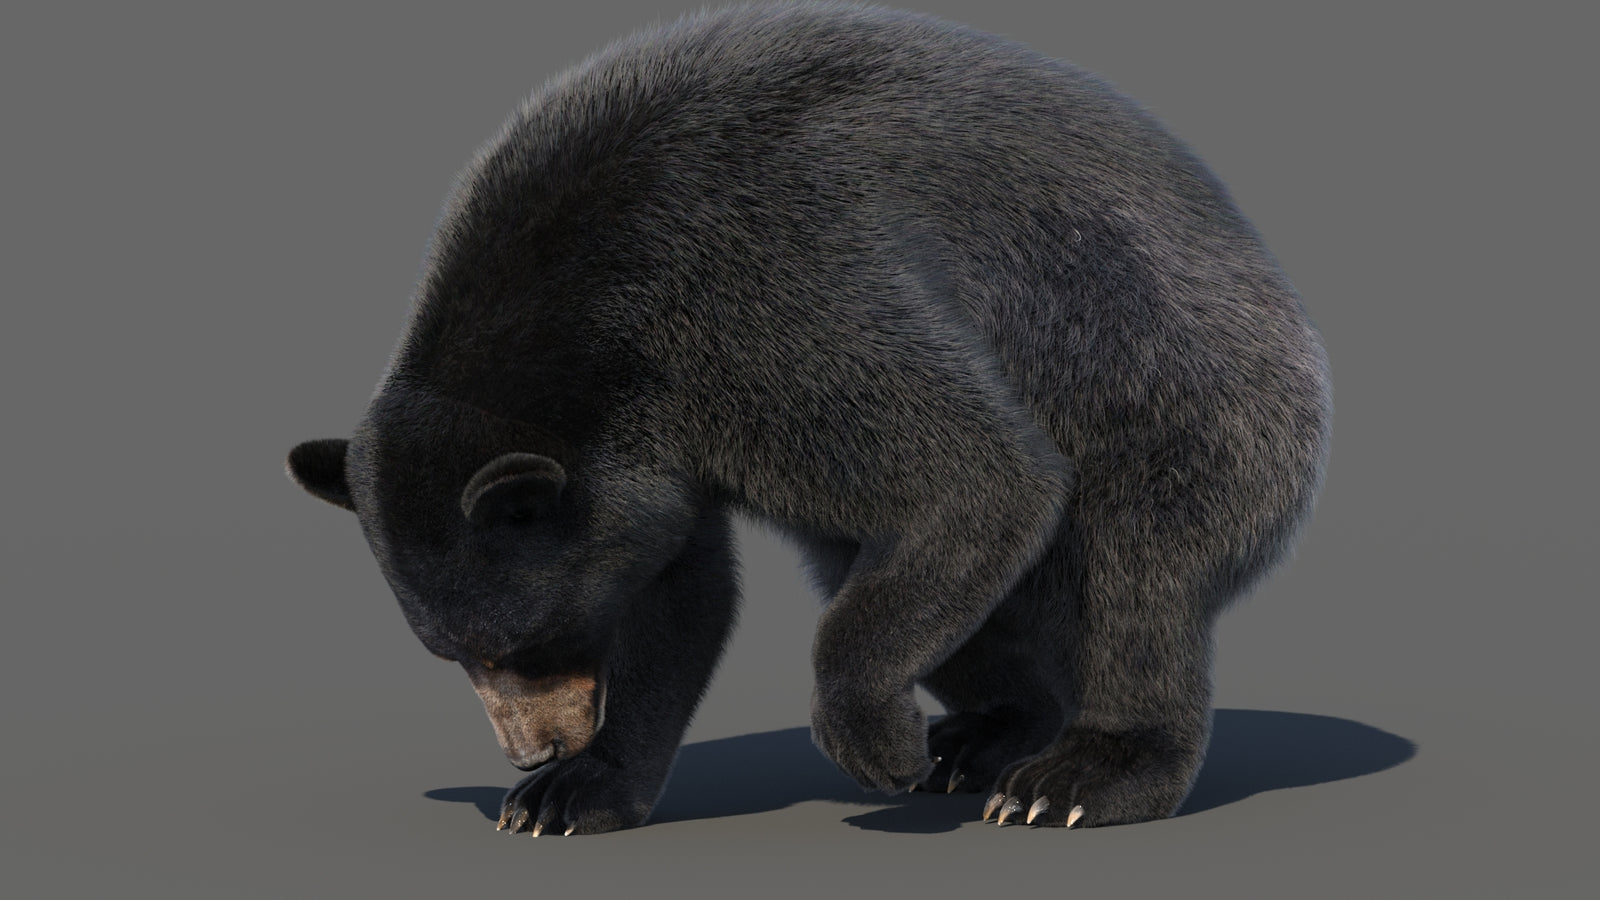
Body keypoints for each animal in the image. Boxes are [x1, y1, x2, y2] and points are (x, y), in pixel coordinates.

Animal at [287, 0, 1331, 836]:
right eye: (452, 652)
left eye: (525, 642)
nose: (532, 750)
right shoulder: (654, 436)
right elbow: (680, 588)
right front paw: (573, 795)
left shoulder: (768, 296)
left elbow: (980, 472)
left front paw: (877, 743)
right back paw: (985, 735)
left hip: (1180, 388)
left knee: (1136, 576)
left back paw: (1077, 776)